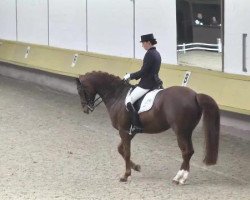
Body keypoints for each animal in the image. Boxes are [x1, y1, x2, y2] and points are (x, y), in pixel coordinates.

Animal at [75, 71, 219, 185]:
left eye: (81, 91)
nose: (85, 109)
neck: (117, 95)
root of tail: (194, 95)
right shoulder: (130, 132)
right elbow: (121, 150)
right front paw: (136, 167)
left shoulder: (123, 131)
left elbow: (126, 152)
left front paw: (126, 175)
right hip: (187, 132)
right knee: (189, 152)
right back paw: (182, 177)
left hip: (181, 132)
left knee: (186, 152)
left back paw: (179, 178)